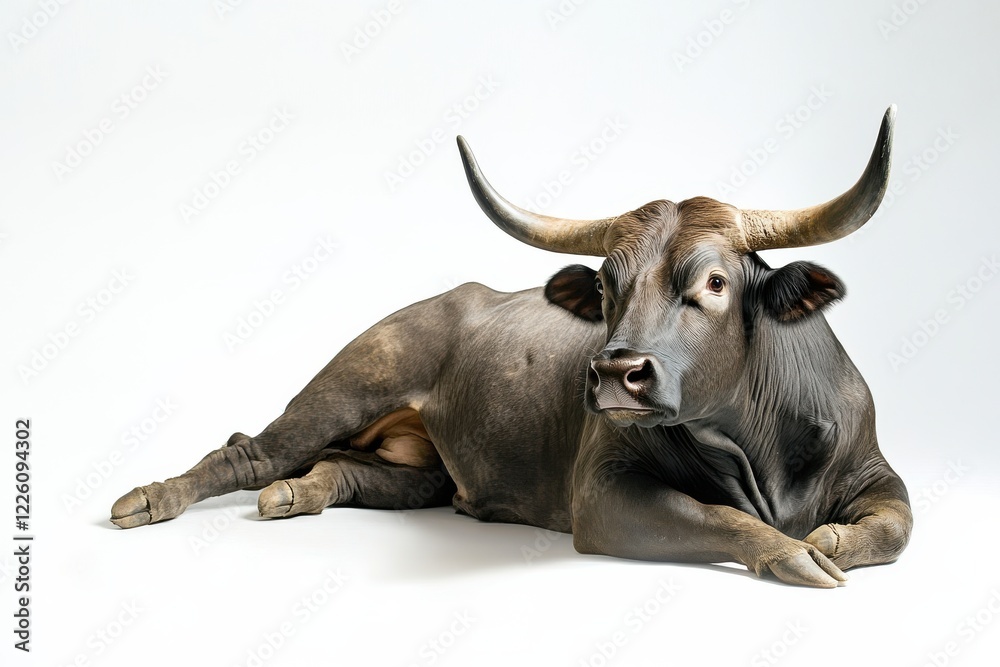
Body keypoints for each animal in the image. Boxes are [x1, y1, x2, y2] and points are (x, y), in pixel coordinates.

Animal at [111, 106, 911, 588]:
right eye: (607, 282)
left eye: (714, 281)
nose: (615, 372)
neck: (758, 443)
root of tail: (447, 298)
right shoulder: (603, 494)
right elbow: (721, 517)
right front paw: (796, 552)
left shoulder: (877, 470)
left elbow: (897, 525)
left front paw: (831, 539)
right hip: (348, 383)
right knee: (248, 451)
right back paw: (150, 499)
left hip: (427, 473)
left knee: (345, 472)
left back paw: (296, 493)